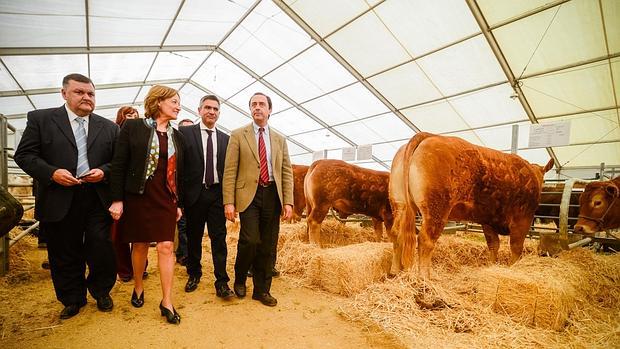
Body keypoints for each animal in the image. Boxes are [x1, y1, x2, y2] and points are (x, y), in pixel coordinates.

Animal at [390, 131, 556, 278]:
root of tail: (428, 136)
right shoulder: (523, 218)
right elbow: (516, 247)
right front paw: (513, 267)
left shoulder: (488, 221)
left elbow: (493, 244)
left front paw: (492, 265)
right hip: (436, 209)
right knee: (425, 240)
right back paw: (424, 278)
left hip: (399, 204)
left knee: (396, 233)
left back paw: (395, 271)